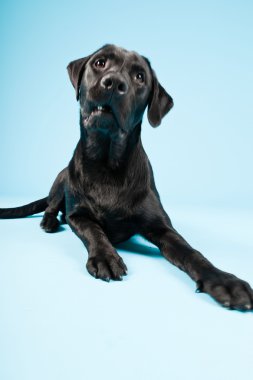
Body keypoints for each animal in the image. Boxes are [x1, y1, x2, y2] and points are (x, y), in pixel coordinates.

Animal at [0, 45, 252, 312]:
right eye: (100, 63)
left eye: (140, 77)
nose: (113, 83)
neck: (107, 164)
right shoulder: (78, 215)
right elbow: (93, 230)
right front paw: (105, 257)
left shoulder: (161, 227)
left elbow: (191, 252)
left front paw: (225, 281)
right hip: (62, 178)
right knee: (52, 205)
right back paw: (49, 221)